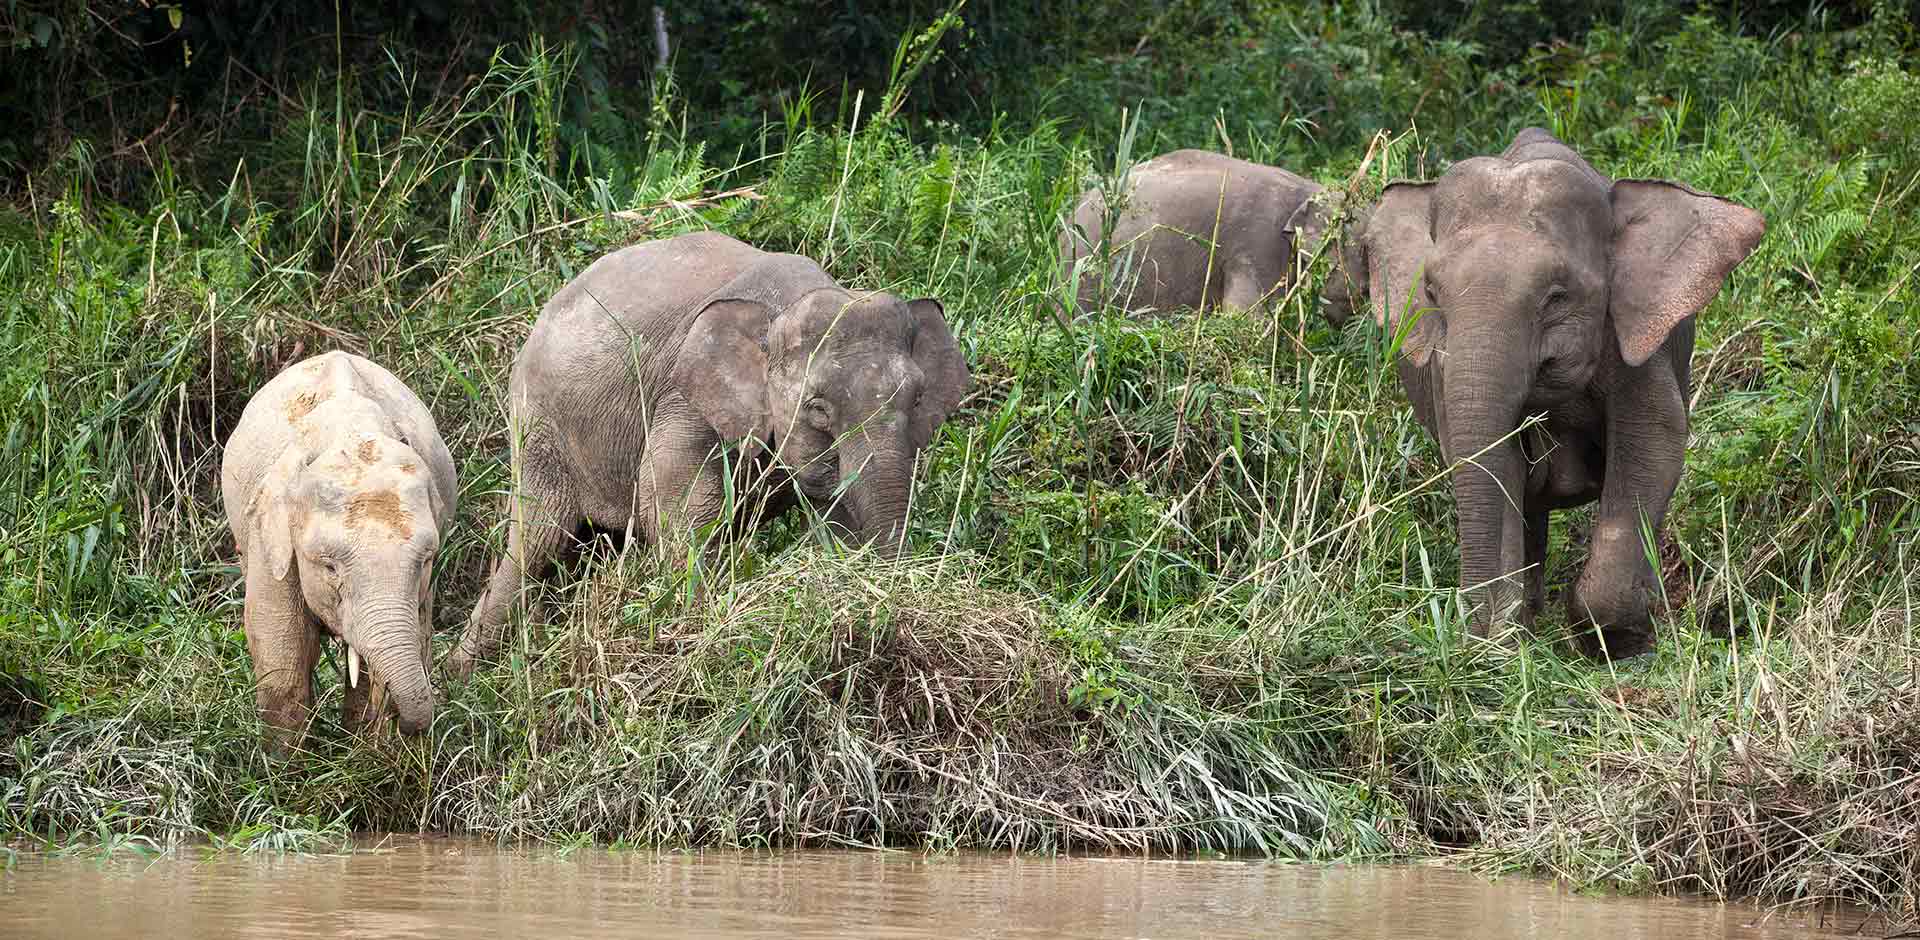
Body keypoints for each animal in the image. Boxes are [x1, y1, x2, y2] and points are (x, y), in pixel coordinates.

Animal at [220, 349, 456, 752]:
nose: (405, 726)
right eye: (330, 567)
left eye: (425, 561)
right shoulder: (271, 537)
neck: (352, 431)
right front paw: (284, 765)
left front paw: (357, 750)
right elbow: (281, 645)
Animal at [441, 230, 967, 671]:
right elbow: (680, 503)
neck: (784, 307)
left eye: (918, 399)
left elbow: (838, 511)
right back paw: (459, 675)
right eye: (817, 408)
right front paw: (701, 625)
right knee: (536, 542)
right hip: (538, 430)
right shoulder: (684, 398)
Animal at [1336, 128, 1766, 659]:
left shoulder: (1635, 339)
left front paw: (1618, 643)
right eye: (1431, 293)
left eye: (1558, 296)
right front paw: (1505, 641)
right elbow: (1489, 460)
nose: (1472, 635)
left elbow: (1653, 442)